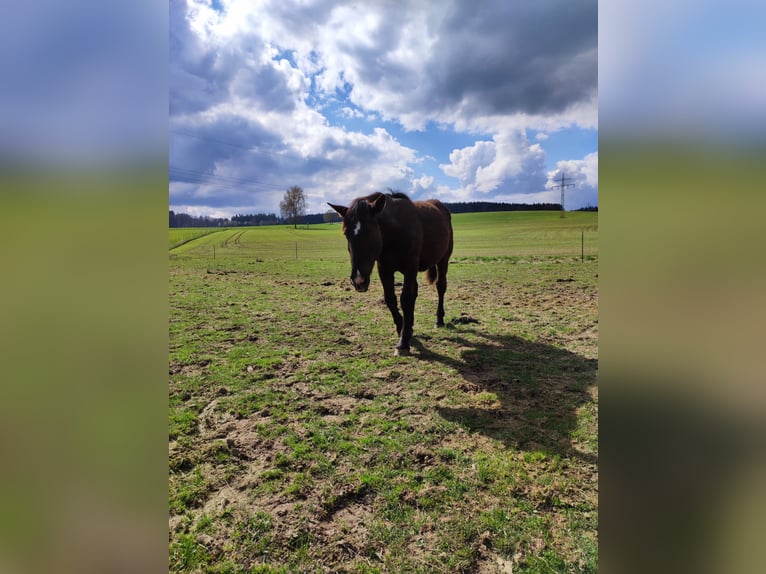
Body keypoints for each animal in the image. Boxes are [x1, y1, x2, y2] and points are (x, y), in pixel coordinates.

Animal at [328, 192, 452, 356]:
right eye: (346, 233)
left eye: (370, 231)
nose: (358, 280)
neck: (395, 234)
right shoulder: (384, 269)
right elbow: (390, 299)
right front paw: (403, 329)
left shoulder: (410, 267)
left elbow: (405, 300)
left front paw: (403, 343)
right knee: (415, 292)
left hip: (443, 260)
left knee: (440, 287)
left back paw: (439, 319)